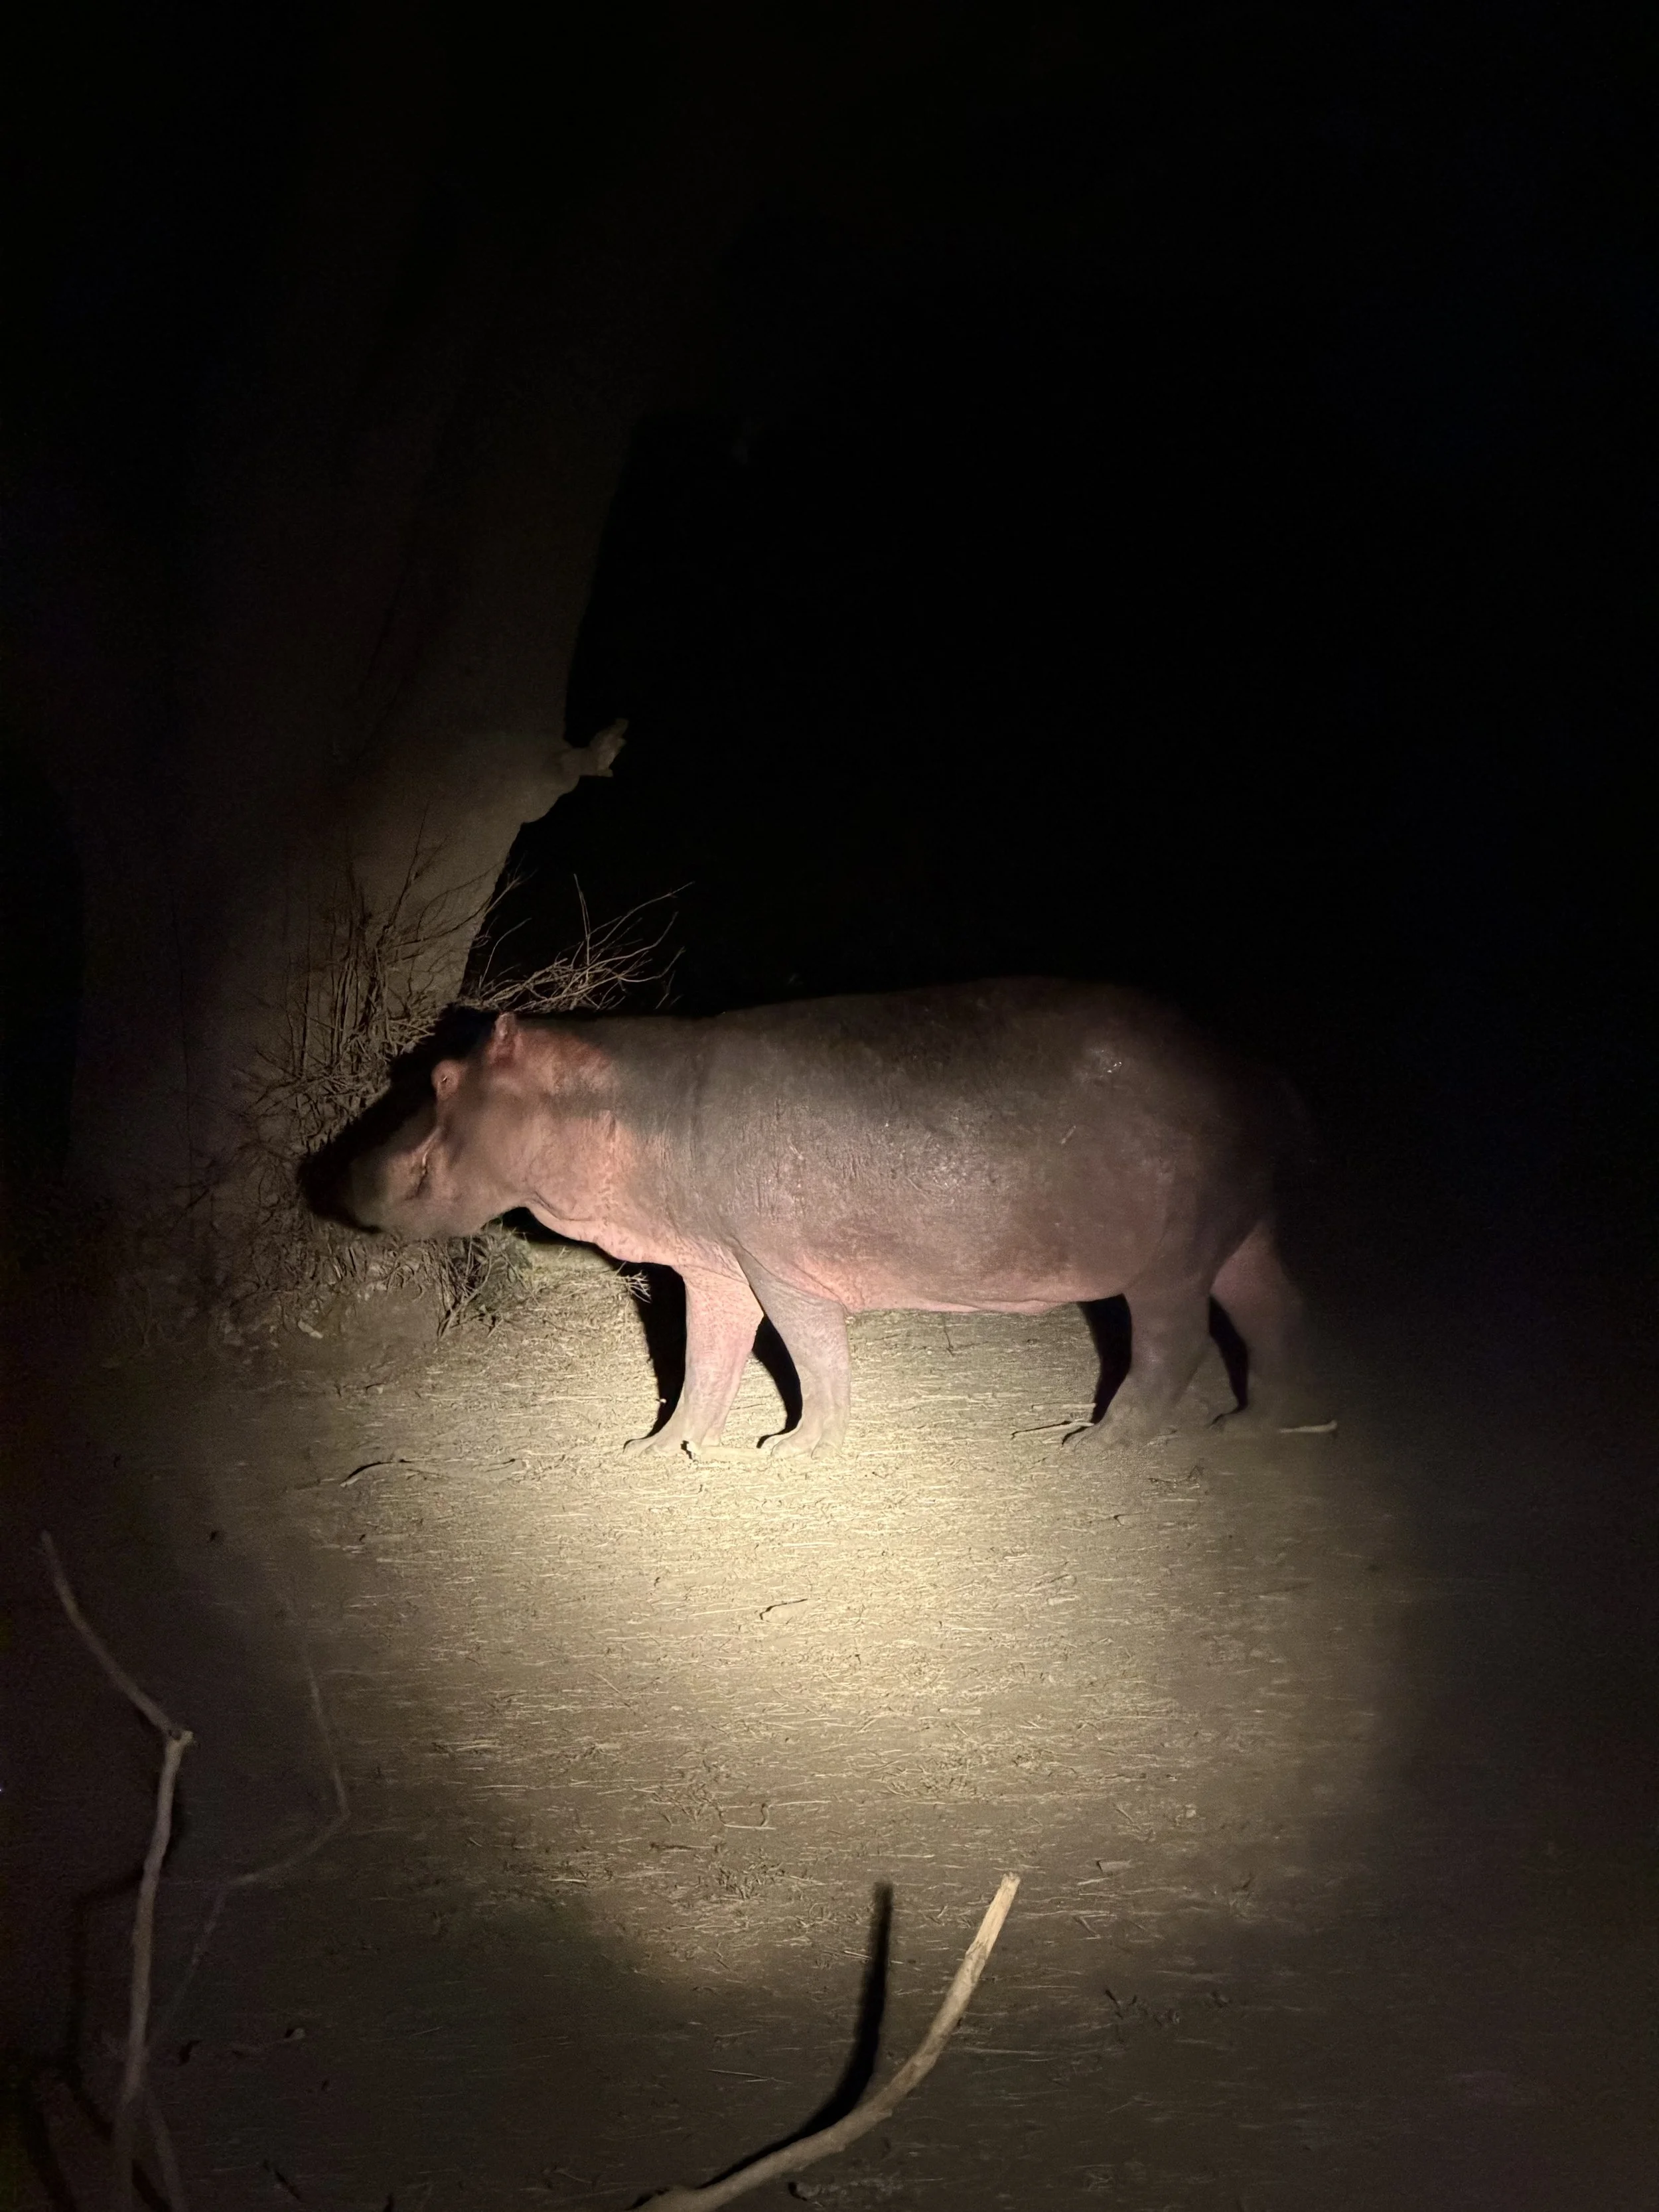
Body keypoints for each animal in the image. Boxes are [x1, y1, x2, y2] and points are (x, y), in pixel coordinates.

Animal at [328, 978, 1321, 1455]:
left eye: (440, 1076)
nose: (339, 1173)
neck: (629, 1101)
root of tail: (1256, 1070)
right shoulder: (714, 1265)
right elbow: (706, 1358)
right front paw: (661, 1446)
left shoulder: (776, 1267)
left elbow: (811, 1356)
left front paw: (789, 1447)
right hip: (1244, 1232)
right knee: (1273, 1311)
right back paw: (1254, 1426)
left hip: (1172, 1260)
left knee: (1174, 1343)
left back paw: (1099, 1443)